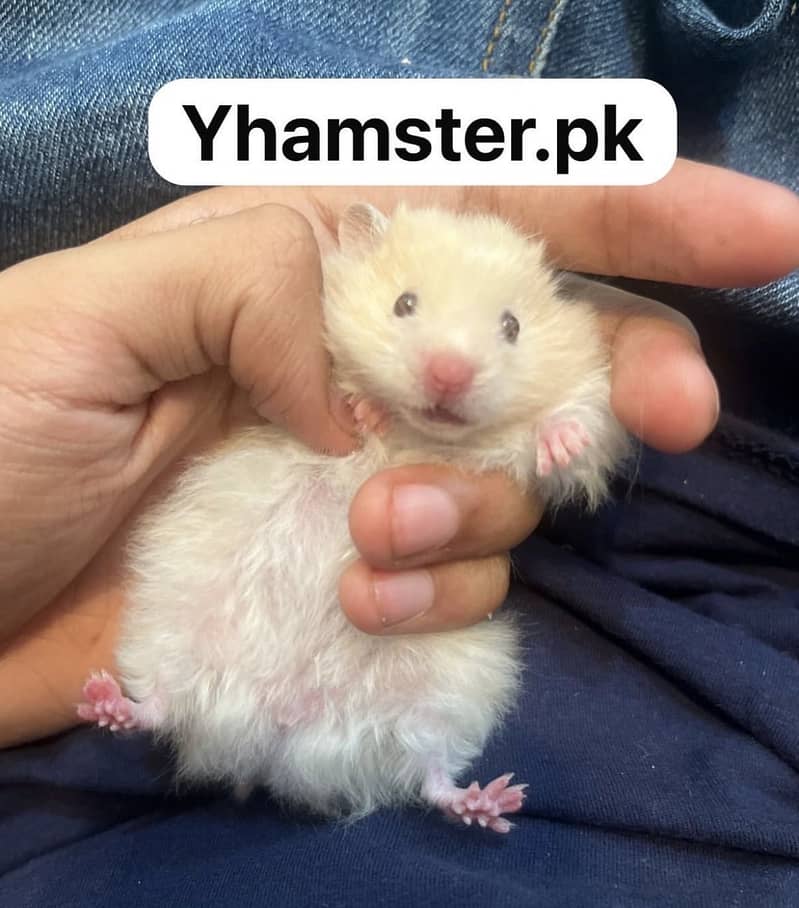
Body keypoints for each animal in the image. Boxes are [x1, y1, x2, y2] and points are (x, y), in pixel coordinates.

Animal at [77, 203, 630, 834]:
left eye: (513, 326)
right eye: (404, 303)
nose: (448, 374)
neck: (425, 433)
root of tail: (278, 731)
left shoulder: (579, 408)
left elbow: (570, 427)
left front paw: (561, 441)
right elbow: (344, 392)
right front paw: (368, 409)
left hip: (449, 689)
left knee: (430, 774)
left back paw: (493, 803)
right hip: (172, 623)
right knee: (162, 703)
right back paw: (102, 702)